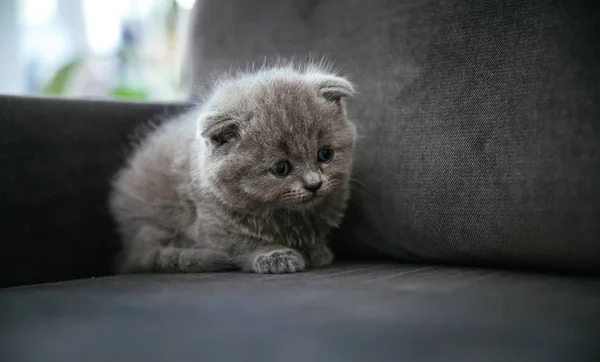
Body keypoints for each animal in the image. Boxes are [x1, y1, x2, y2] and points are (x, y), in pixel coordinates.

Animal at [109, 64, 356, 274]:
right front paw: (275, 255)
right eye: (281, 168)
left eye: (325, 154)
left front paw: (317, 251)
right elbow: (245, 244)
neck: (288, 215)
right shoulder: (214, 227)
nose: (314, 184)